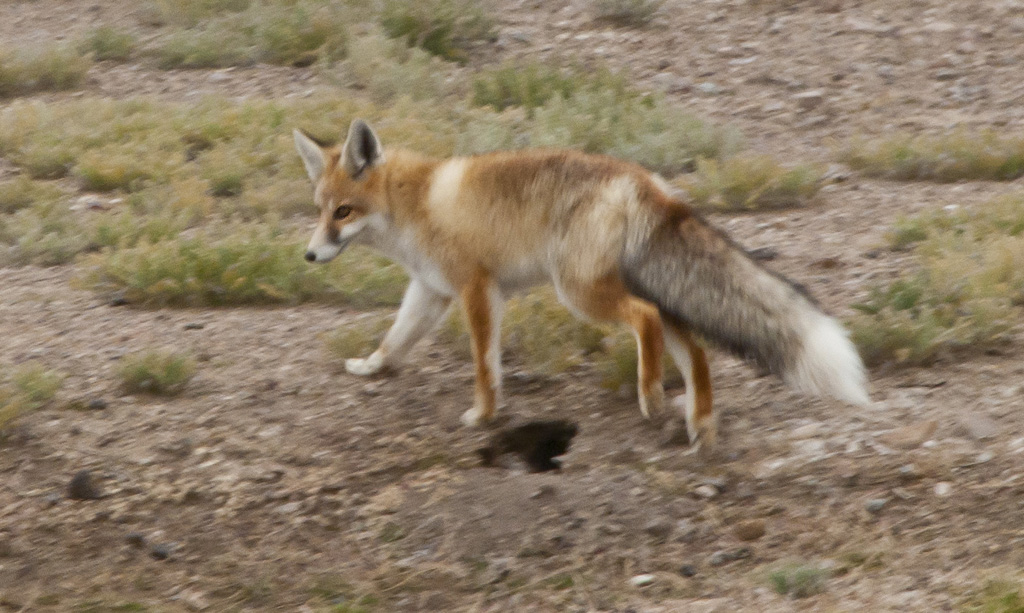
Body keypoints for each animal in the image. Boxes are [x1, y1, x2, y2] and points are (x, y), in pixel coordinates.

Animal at [292, 117, 868, 452]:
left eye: (343, 212)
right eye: (319, 210)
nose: (310, 255)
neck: (414, 204)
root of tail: (643, 179)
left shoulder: (478, 289)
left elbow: (484, 365)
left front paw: (483, 414)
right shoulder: (430, 291)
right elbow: (394, 340)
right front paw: (370, 368)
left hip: (580, 292)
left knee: (646, 319)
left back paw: (651, 396)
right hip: (630, 287)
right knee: (694, 344)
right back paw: (699, 421)